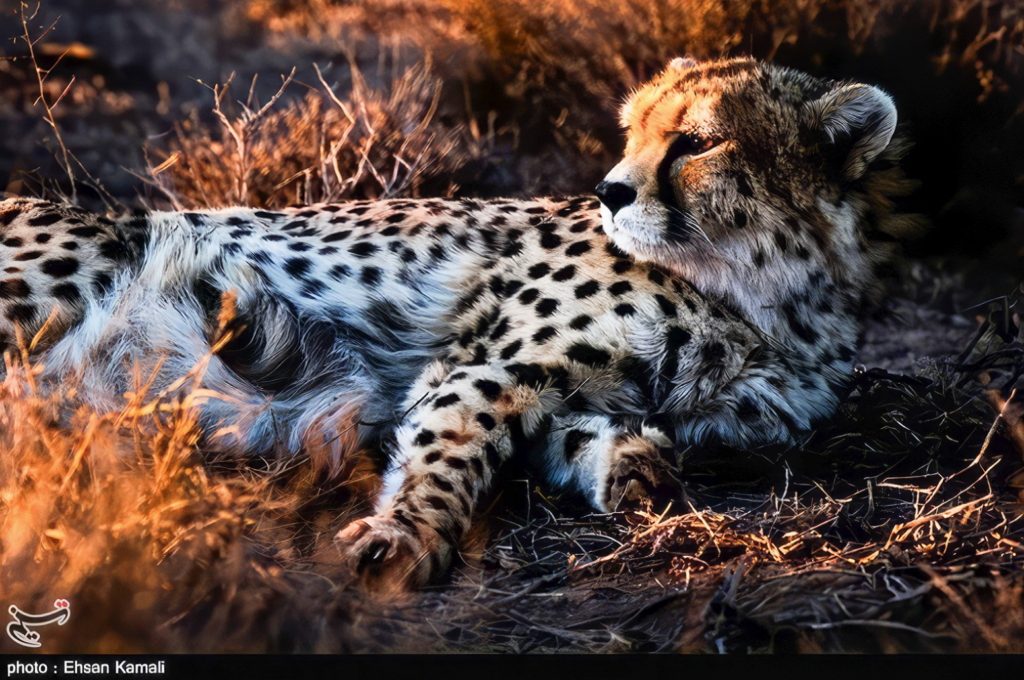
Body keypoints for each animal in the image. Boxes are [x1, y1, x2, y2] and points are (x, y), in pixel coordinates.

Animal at [0, 57, 919, 591]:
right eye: (633, 131)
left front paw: (635, 468)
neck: (763, 299)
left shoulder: (599, 394)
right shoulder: (484, 366)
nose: (610, 191)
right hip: (79, 265)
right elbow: (453, 446)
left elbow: (585, 431)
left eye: (697, 141)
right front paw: (404, 537)